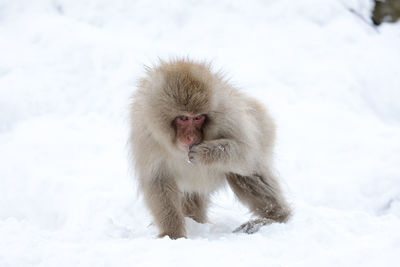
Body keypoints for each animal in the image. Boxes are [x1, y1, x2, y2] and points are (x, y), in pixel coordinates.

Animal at [130, 59, 292, 240]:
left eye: (198, 118)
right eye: (183, 118)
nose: (191, 137)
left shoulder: (229, 115)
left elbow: (247, 154)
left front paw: (205, 153)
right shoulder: (145, 134)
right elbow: (157, 180)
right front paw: (172, 235)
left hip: (264, 127)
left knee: (243, 172)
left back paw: (273, 218)